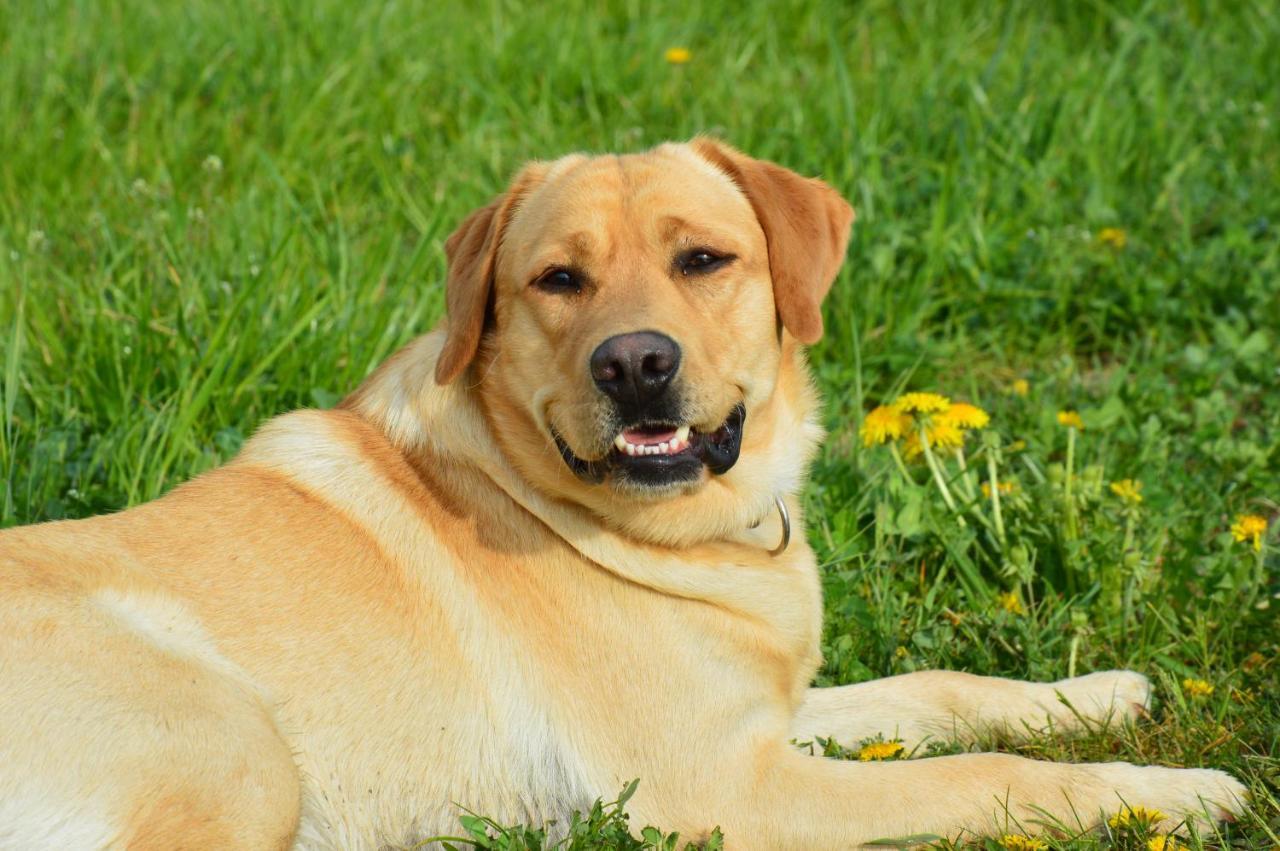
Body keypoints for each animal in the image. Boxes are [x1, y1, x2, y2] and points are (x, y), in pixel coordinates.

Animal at [0, 136, 1244, 844]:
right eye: (557, 279)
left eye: (702, 258)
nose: (635, 362)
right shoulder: (725, 790)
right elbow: (979, 777)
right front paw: (1171, 792)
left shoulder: (764, 719)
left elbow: (937, 691)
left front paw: (1094, 692)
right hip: (231, 748)